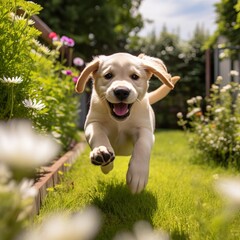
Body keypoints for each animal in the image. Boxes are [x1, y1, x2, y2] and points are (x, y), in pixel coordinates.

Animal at [76, 52, 179, 193]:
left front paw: (138, 174)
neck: (120, 122)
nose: (121, 91)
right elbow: (98, 135)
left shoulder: (145, 130)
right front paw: (102, 153)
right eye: (108, 75)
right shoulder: (93, 122)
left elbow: (142, 145)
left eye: (134, 76)